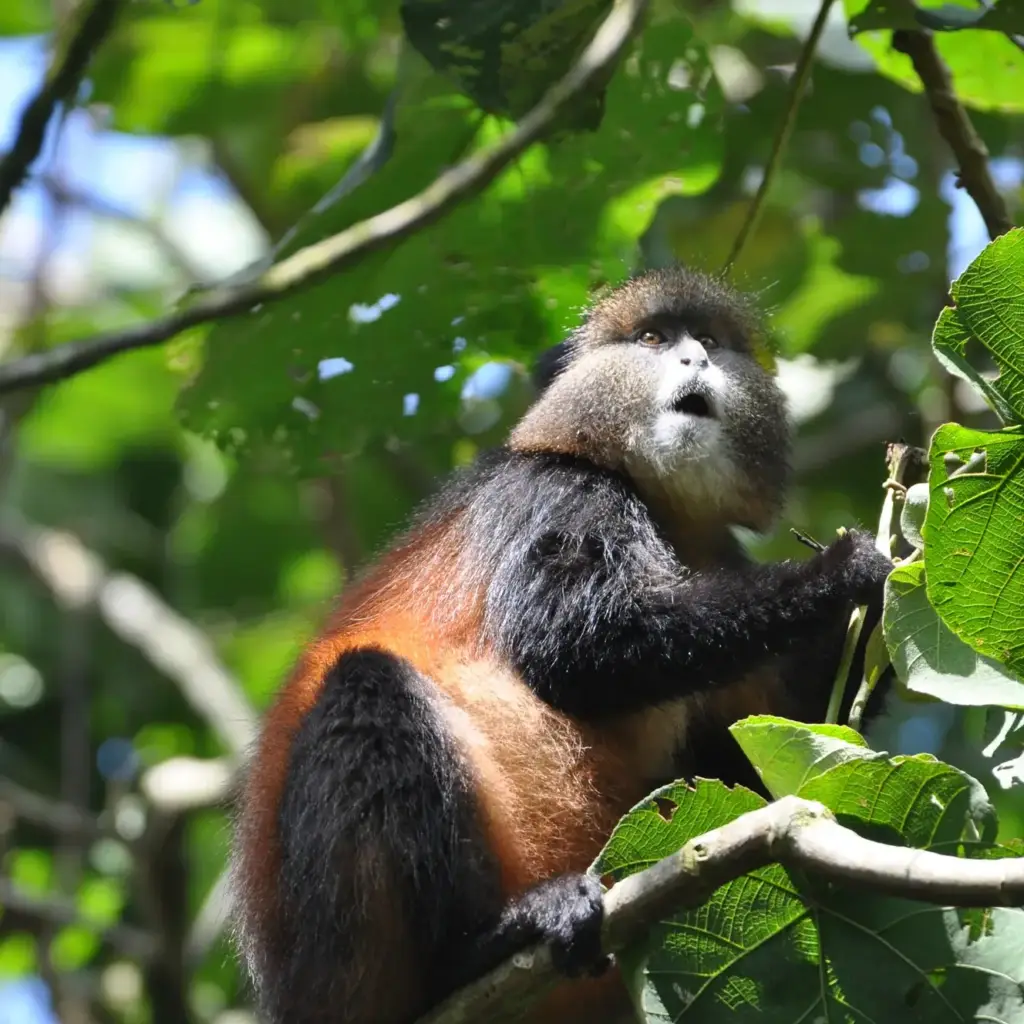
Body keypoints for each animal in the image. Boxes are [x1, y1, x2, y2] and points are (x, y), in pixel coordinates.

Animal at [230, 266, 894, 1024]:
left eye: (710, 341)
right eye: (652, 339)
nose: (695, 360)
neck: (664, 510)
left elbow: (746, 763)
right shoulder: (561, 494)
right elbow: (574, 652)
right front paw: (841, 573)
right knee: (366, 686)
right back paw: (479, 947)